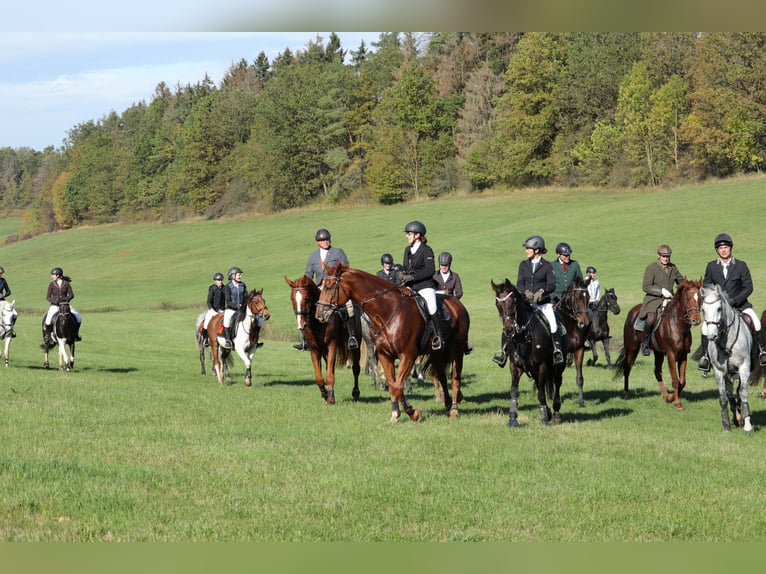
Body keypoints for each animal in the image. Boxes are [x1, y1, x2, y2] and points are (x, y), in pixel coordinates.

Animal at [284, 274, 364, 404]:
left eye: (306, 298)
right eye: (292, 298)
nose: (301, 324)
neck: (318, 322)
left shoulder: (332, 346)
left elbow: (330, 375)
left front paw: (330, 398)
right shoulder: (314, 349)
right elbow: (320, 377)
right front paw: (326, 394)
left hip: (355, 344)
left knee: (355, 368)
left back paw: (355, 393)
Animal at [316, 266, 472, 424]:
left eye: (329, 287)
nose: (319, 315)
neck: (388, 310)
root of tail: (457, 303)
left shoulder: (407, 356)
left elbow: (398, 386)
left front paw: (412, 413)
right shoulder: (385, 355)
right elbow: (392, 385)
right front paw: (395, 413)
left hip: (457, 350)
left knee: (455, 379)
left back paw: (454, 409)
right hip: (437, 353)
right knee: (441, 376)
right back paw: (447, 404)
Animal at [492, 280, 568, 428]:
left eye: (513, 301)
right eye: (497, 304)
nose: (508, 330)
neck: (524, 336)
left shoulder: (542, 366)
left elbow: (542, 393)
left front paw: (544, 419)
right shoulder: (515, 366)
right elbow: (514, 391)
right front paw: (513, 418)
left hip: (558, 367)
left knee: (557, 383)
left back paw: (555, 413)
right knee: (540, 385)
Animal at [616, 278, 704, 410]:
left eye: (700, 298)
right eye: (688, 298)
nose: (696, 320)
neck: (677, 325)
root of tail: (632, 311)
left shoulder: (683, 355)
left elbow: (682, 381)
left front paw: (671, 397)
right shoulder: (671, 355)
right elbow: (675, 381)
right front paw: (677, 403)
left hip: (658, 353)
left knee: (657, 371)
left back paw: (665, 395)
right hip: (632, 348)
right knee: (627, 368)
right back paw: (626, 393)